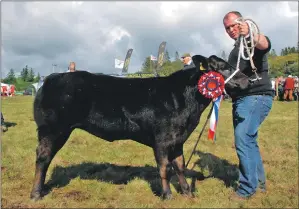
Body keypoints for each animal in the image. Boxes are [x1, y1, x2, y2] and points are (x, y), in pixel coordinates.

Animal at [29, 54, 243, 201]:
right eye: (223, 67)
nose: (246, 80)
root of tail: (51, 78)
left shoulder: (178, 139)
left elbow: (180, 166)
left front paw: (187, 193)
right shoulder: (162, 139)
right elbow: (164, 168)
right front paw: (167, 195)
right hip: (53, 130)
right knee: (43, 157)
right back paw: (36, 193)